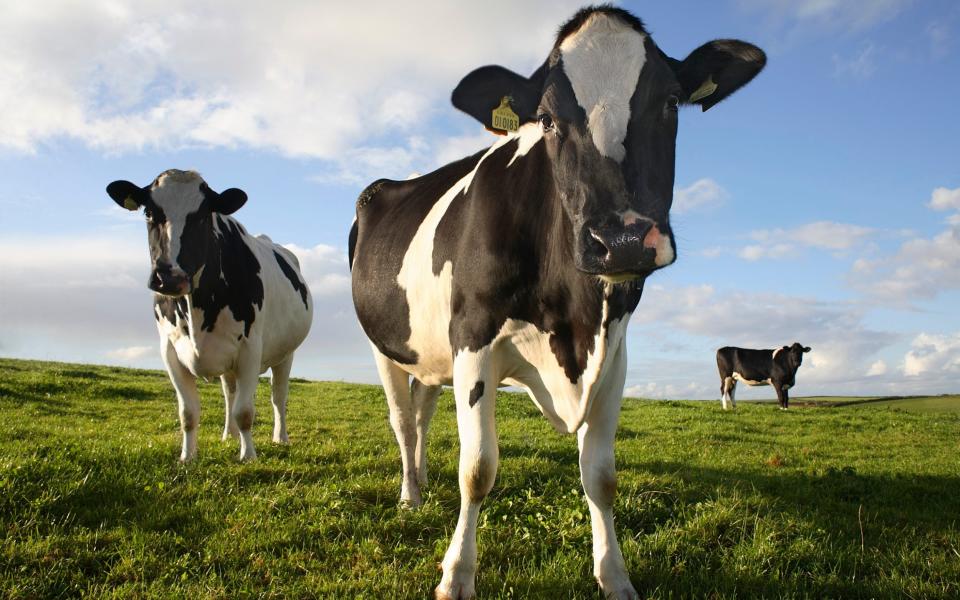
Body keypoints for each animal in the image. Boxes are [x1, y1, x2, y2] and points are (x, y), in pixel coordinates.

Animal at [107, 171, 314, 462]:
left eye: (204, 215)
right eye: (148, 212)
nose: (169, 277)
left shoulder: (250, 347)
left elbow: (245, 411)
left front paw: (248, 455)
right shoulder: (169, 350)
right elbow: (188, 412)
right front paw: (187, 456)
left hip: (285, 353)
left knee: (278, 396)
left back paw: (280, 437)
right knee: (229, 394)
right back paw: (229, 434)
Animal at [348, 5, 760, 600]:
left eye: (669, 102)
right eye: (545, 119)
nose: (622, 239)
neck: (573, 319)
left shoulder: (614, 351)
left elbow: (601, 477)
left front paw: (614, 574)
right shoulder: (472, 337)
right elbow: (477, 468)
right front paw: (456, 575)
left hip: (429, 353)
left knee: (423, 415)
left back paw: (422, 483)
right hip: (386, 347)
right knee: (403, 422)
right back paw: (409, 495)